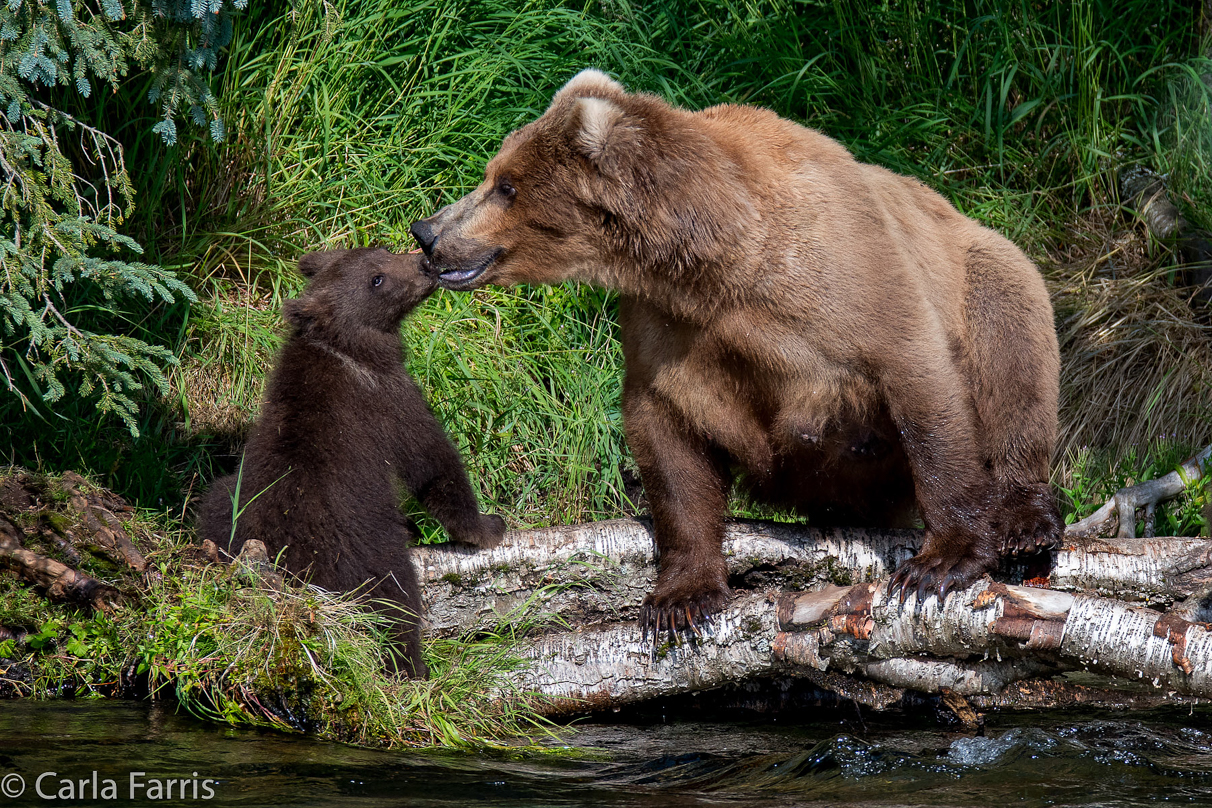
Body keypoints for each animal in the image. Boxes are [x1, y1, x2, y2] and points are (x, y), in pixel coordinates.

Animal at [409, 69, 1061, 634]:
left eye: (506, 185)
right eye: (495, 173)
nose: (427, 232)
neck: (716, 261)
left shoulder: (851, 282)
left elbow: (922, 391)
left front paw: (941, 563)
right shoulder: (670, 328)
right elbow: (668, 441)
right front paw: (683, 597)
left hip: (988, 267)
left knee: (1014, 356)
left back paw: (1025, 520)